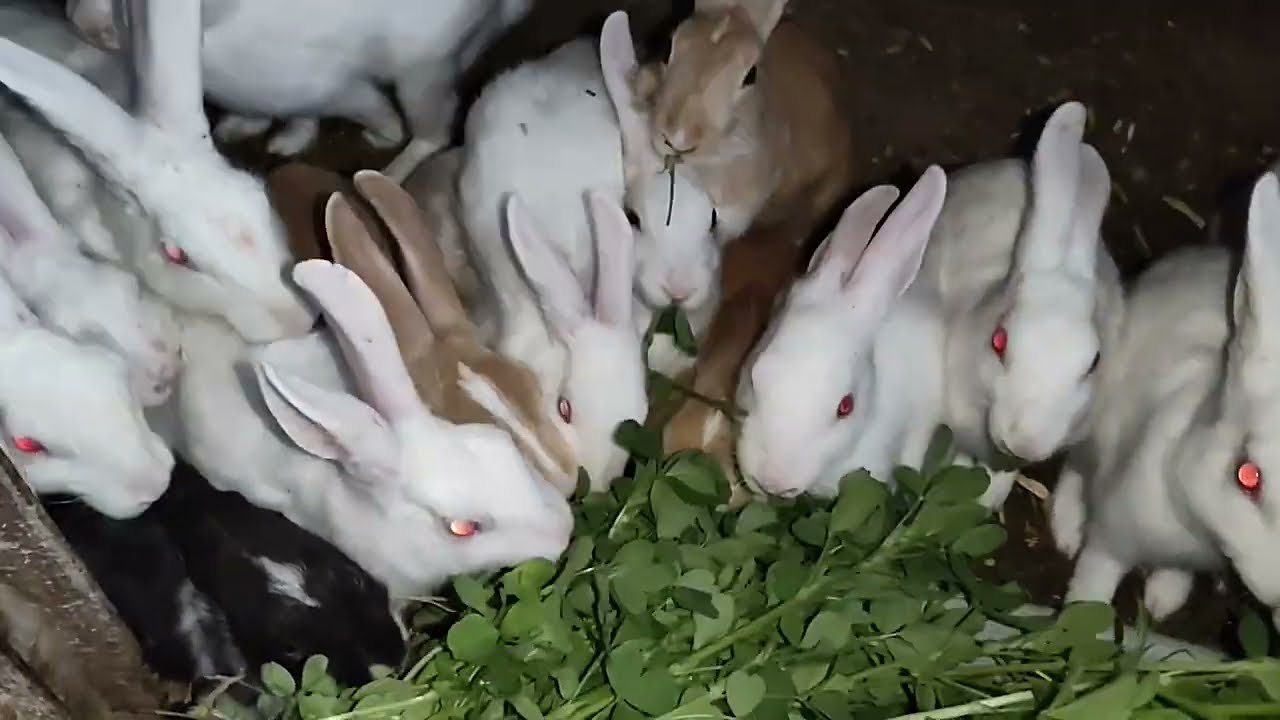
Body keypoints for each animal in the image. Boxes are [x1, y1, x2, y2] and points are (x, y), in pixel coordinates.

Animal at [65, 0, 534, 165]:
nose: (83, 23)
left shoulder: (327, 88)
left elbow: (357, 108)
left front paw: (382, 133)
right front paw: (254, 133)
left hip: (421, 73)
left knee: (434, 131)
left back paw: (391, 166)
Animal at [1052, 171, 1280, 630]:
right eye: (1247, 476)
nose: (1274, 593)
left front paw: (1163, 599)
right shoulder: (1114, 535)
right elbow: (1094, 580)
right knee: (1077, 467)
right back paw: (1064, 529)